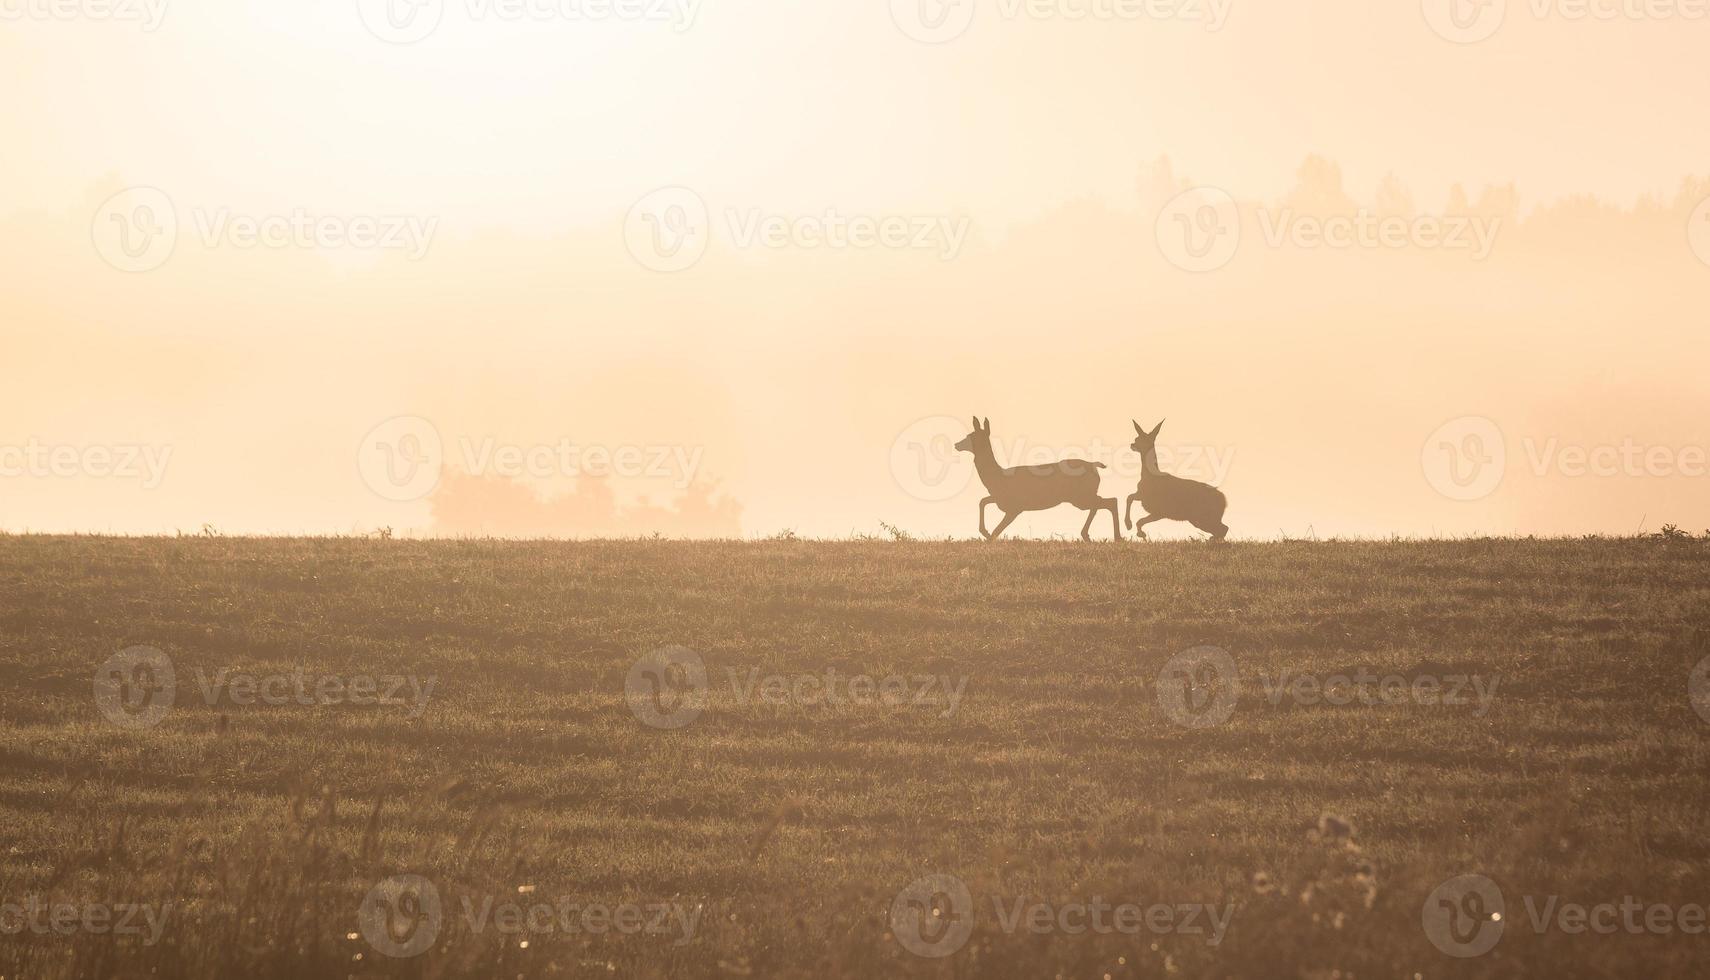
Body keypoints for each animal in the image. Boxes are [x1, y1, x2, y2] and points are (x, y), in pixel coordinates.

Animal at [950, 417, 1121, 543]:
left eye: (971, 436)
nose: (956, 444)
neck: (997, 478)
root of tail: (1094, 465)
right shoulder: (1000, 500)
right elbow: (982, 501)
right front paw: (984, 532)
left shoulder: (1015, 507)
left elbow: (997, 529)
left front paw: (988, 536)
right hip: (1082, 496)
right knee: (1107, 501)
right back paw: (1098, 536)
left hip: (1079, 497)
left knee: (1107, 501)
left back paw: (1104, 536)